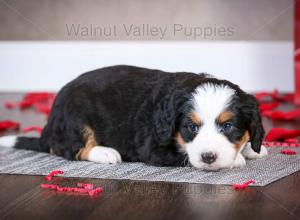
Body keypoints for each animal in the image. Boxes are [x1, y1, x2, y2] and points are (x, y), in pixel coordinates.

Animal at [0, 65, 268, 170]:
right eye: (191, 128)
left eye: (228, 126)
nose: (209, 157)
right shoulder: (154, 148)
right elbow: (185, 155)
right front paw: (236, 159)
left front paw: (251, 149)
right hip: (75, 117)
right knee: (72, 148)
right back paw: (106, 153)